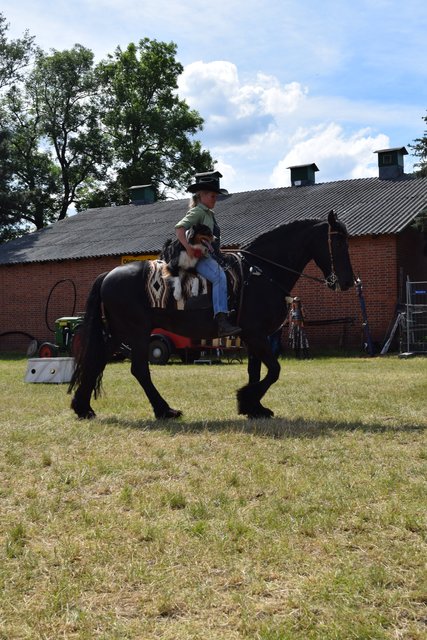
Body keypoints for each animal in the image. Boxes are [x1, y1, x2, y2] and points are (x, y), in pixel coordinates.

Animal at [69, 210, 354, 420]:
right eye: (338, 241)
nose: (349, 281)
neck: (260, 272)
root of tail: (107, 275)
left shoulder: (254, 336)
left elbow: (255, 371)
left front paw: (253, 407)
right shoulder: (256, 335)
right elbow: (274, 370)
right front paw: (247, 398)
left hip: (119, 333)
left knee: (97, 360)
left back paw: (83, 407)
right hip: (136, 332)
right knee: (139, 369)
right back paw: (164, 410)